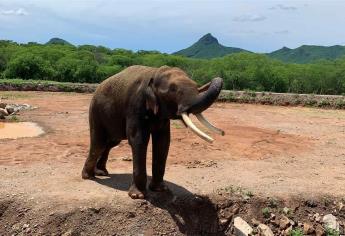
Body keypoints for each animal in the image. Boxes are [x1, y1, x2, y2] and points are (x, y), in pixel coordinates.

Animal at [80, 65, 223, 199]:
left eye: (196, 85)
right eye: (173, 89)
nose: (221, 133)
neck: (154, 73)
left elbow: (163, 141)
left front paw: (160, 190)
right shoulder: (135, 105)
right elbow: (139, 140)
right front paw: (137, 196)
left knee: (110, 143)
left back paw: (101, 172)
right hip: (96, 113)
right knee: (99, 143)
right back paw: (89, 176)